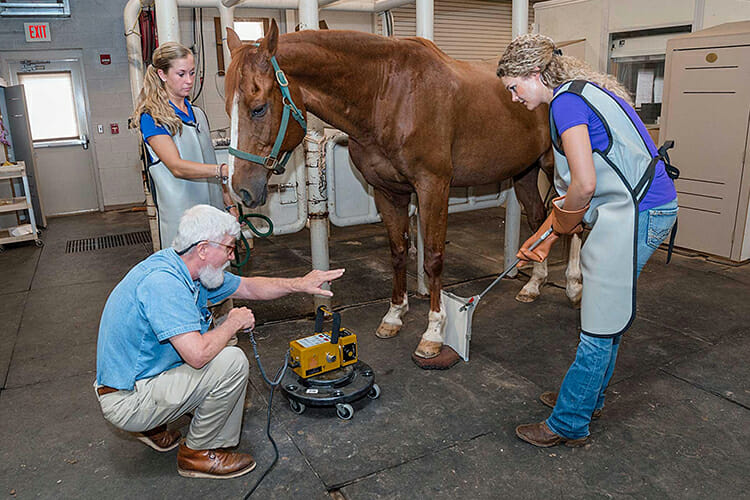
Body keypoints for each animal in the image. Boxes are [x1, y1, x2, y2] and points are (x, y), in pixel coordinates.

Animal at [224, 20, 582, 361]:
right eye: (229, 108)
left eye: (258, 108)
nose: (240, 189)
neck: (388, 95)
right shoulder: (387, 191)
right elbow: (397, 252)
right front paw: (394, 315)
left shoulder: (433, 186)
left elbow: (433, 258)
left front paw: (434, 332)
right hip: (525, 172)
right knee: (539, 219)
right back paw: (534, 284)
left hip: (560, 168)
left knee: (574, 223)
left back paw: (575, 286)